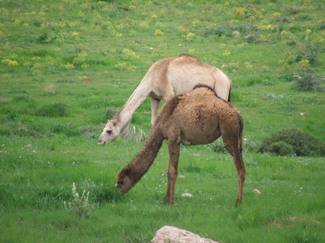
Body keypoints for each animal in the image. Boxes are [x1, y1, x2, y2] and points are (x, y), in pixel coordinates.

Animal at [96, 53, 230, 144]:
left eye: (109, 130)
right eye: (104, 128)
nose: (100, 141)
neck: (152, 77)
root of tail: (228, 80)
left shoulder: (168, 95)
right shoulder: (154, 97)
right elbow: (153, 121)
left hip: (221, 90)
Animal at [115, 85, 244, 207]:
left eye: (121, 181)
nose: (117, 193)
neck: (162, 121)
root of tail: (238, 116)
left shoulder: (174, 138)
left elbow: (172, 171)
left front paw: (171, 202)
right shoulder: (171, 139)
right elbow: (169, 170)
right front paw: (165, 200)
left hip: (228, 131)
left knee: (240, 168)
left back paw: (238, 203)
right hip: (238, 138)